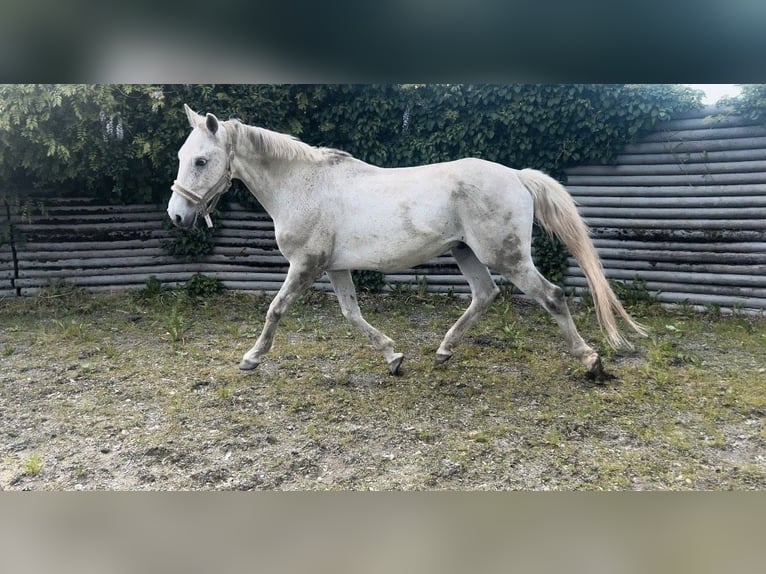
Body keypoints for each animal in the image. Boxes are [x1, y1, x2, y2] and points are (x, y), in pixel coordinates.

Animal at [167, 104, 646, 379]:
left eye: (201, 160)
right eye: (181, 156)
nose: (177, 215)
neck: (304, 185)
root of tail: (516, 175)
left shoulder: (306, 265)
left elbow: (276, 309)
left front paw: (251, 358)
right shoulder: (335, 267)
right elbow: (352, 314)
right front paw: (393, 357)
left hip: (506, 256)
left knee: (552, 296)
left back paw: (591, 361)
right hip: (465, 251)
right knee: (484, 294)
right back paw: (443, 352)